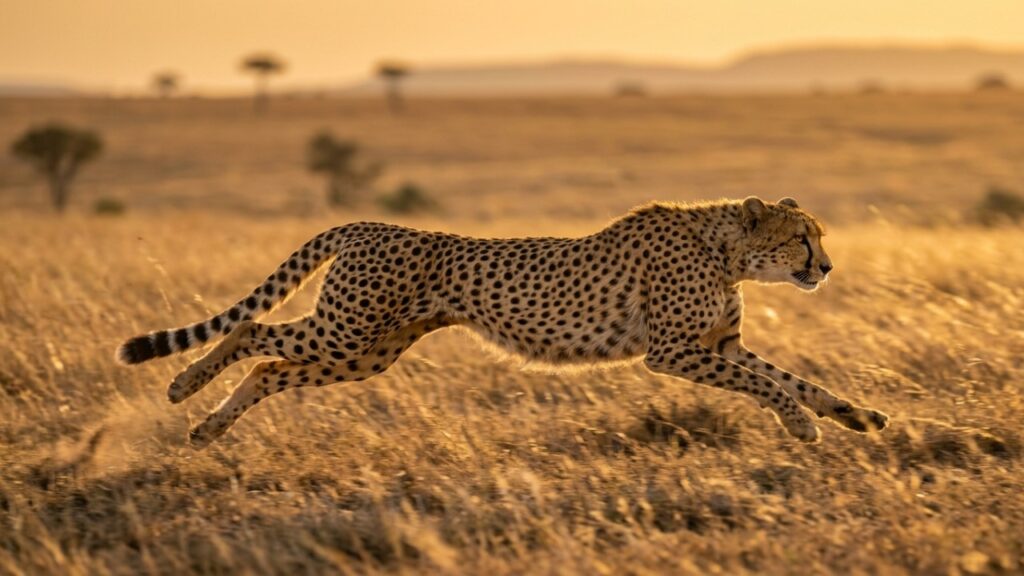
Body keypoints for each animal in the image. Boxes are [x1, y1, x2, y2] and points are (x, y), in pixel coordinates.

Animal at [116, 196, 889, 448]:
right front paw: (803, 425)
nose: (825, 268)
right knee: (251, 334)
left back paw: (208, 427)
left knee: (272, 367)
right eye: (802, 238)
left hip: (369, 351)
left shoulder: (720, 343)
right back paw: (184, 389)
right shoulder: (672, 352)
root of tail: (368, 223)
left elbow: (792, 377)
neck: (724, 248)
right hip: (348, 331)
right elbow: (770, 385)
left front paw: (857, 416)